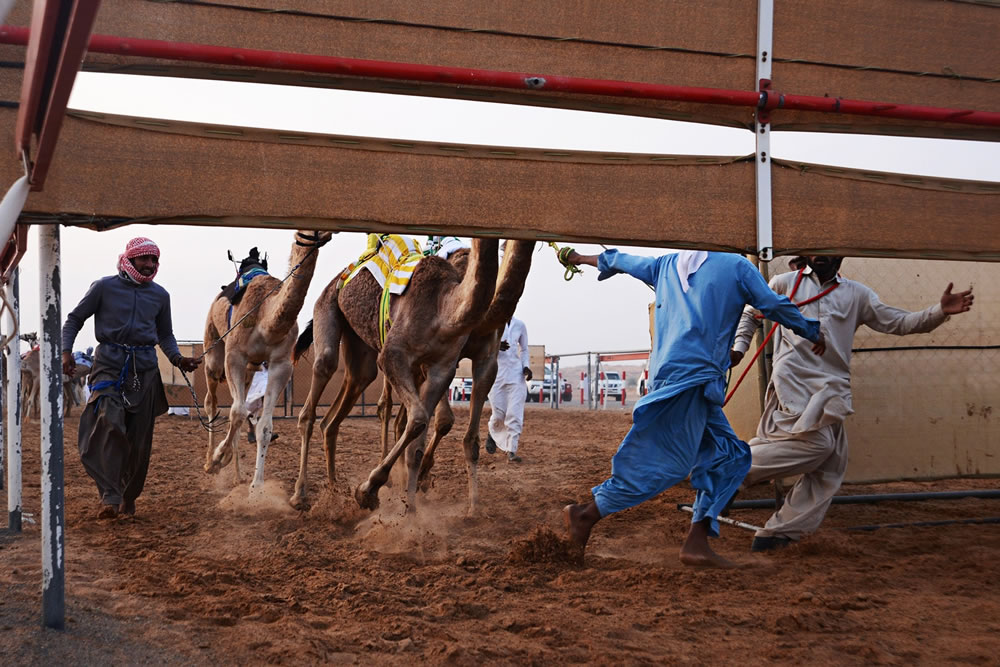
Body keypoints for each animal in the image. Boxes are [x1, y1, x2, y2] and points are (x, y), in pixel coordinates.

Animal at [202, 231, 332, 490]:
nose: (326, 233)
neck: (268, 322)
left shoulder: (281, 365)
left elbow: (264, 426)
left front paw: (256, 488)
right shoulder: (234, 356)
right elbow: (236, 412)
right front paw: (219, 457)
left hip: (250, 370)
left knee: (241, 405)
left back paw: (237, 474)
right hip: (213, 350)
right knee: (212, 402)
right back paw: (211, 461)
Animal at [292, 236, 500, 512]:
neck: (445, 305)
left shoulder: (442, 366)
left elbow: (419, 423)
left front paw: (389, 495)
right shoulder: (393, 356)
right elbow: (418, 418)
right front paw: (370, 490)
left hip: (360, 349)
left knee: (336, 413)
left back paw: (335, 492)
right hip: (326, 308)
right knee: (317, 387)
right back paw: (300, 495)